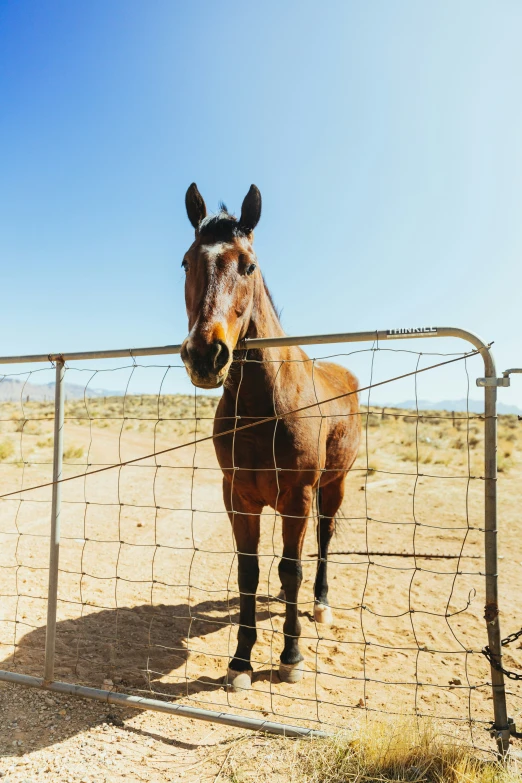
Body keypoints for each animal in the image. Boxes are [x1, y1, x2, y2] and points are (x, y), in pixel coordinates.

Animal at [179, 184, 358, 692]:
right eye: (186, 262)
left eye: (248, 265)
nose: (206, 354)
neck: (265, 405)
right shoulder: (239, 496)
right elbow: (250, 571)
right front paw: (240, 661)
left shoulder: (297, 496)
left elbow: (292, 568)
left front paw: (291, 656)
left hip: (334, 486)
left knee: (323, 539)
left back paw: (320, 604)